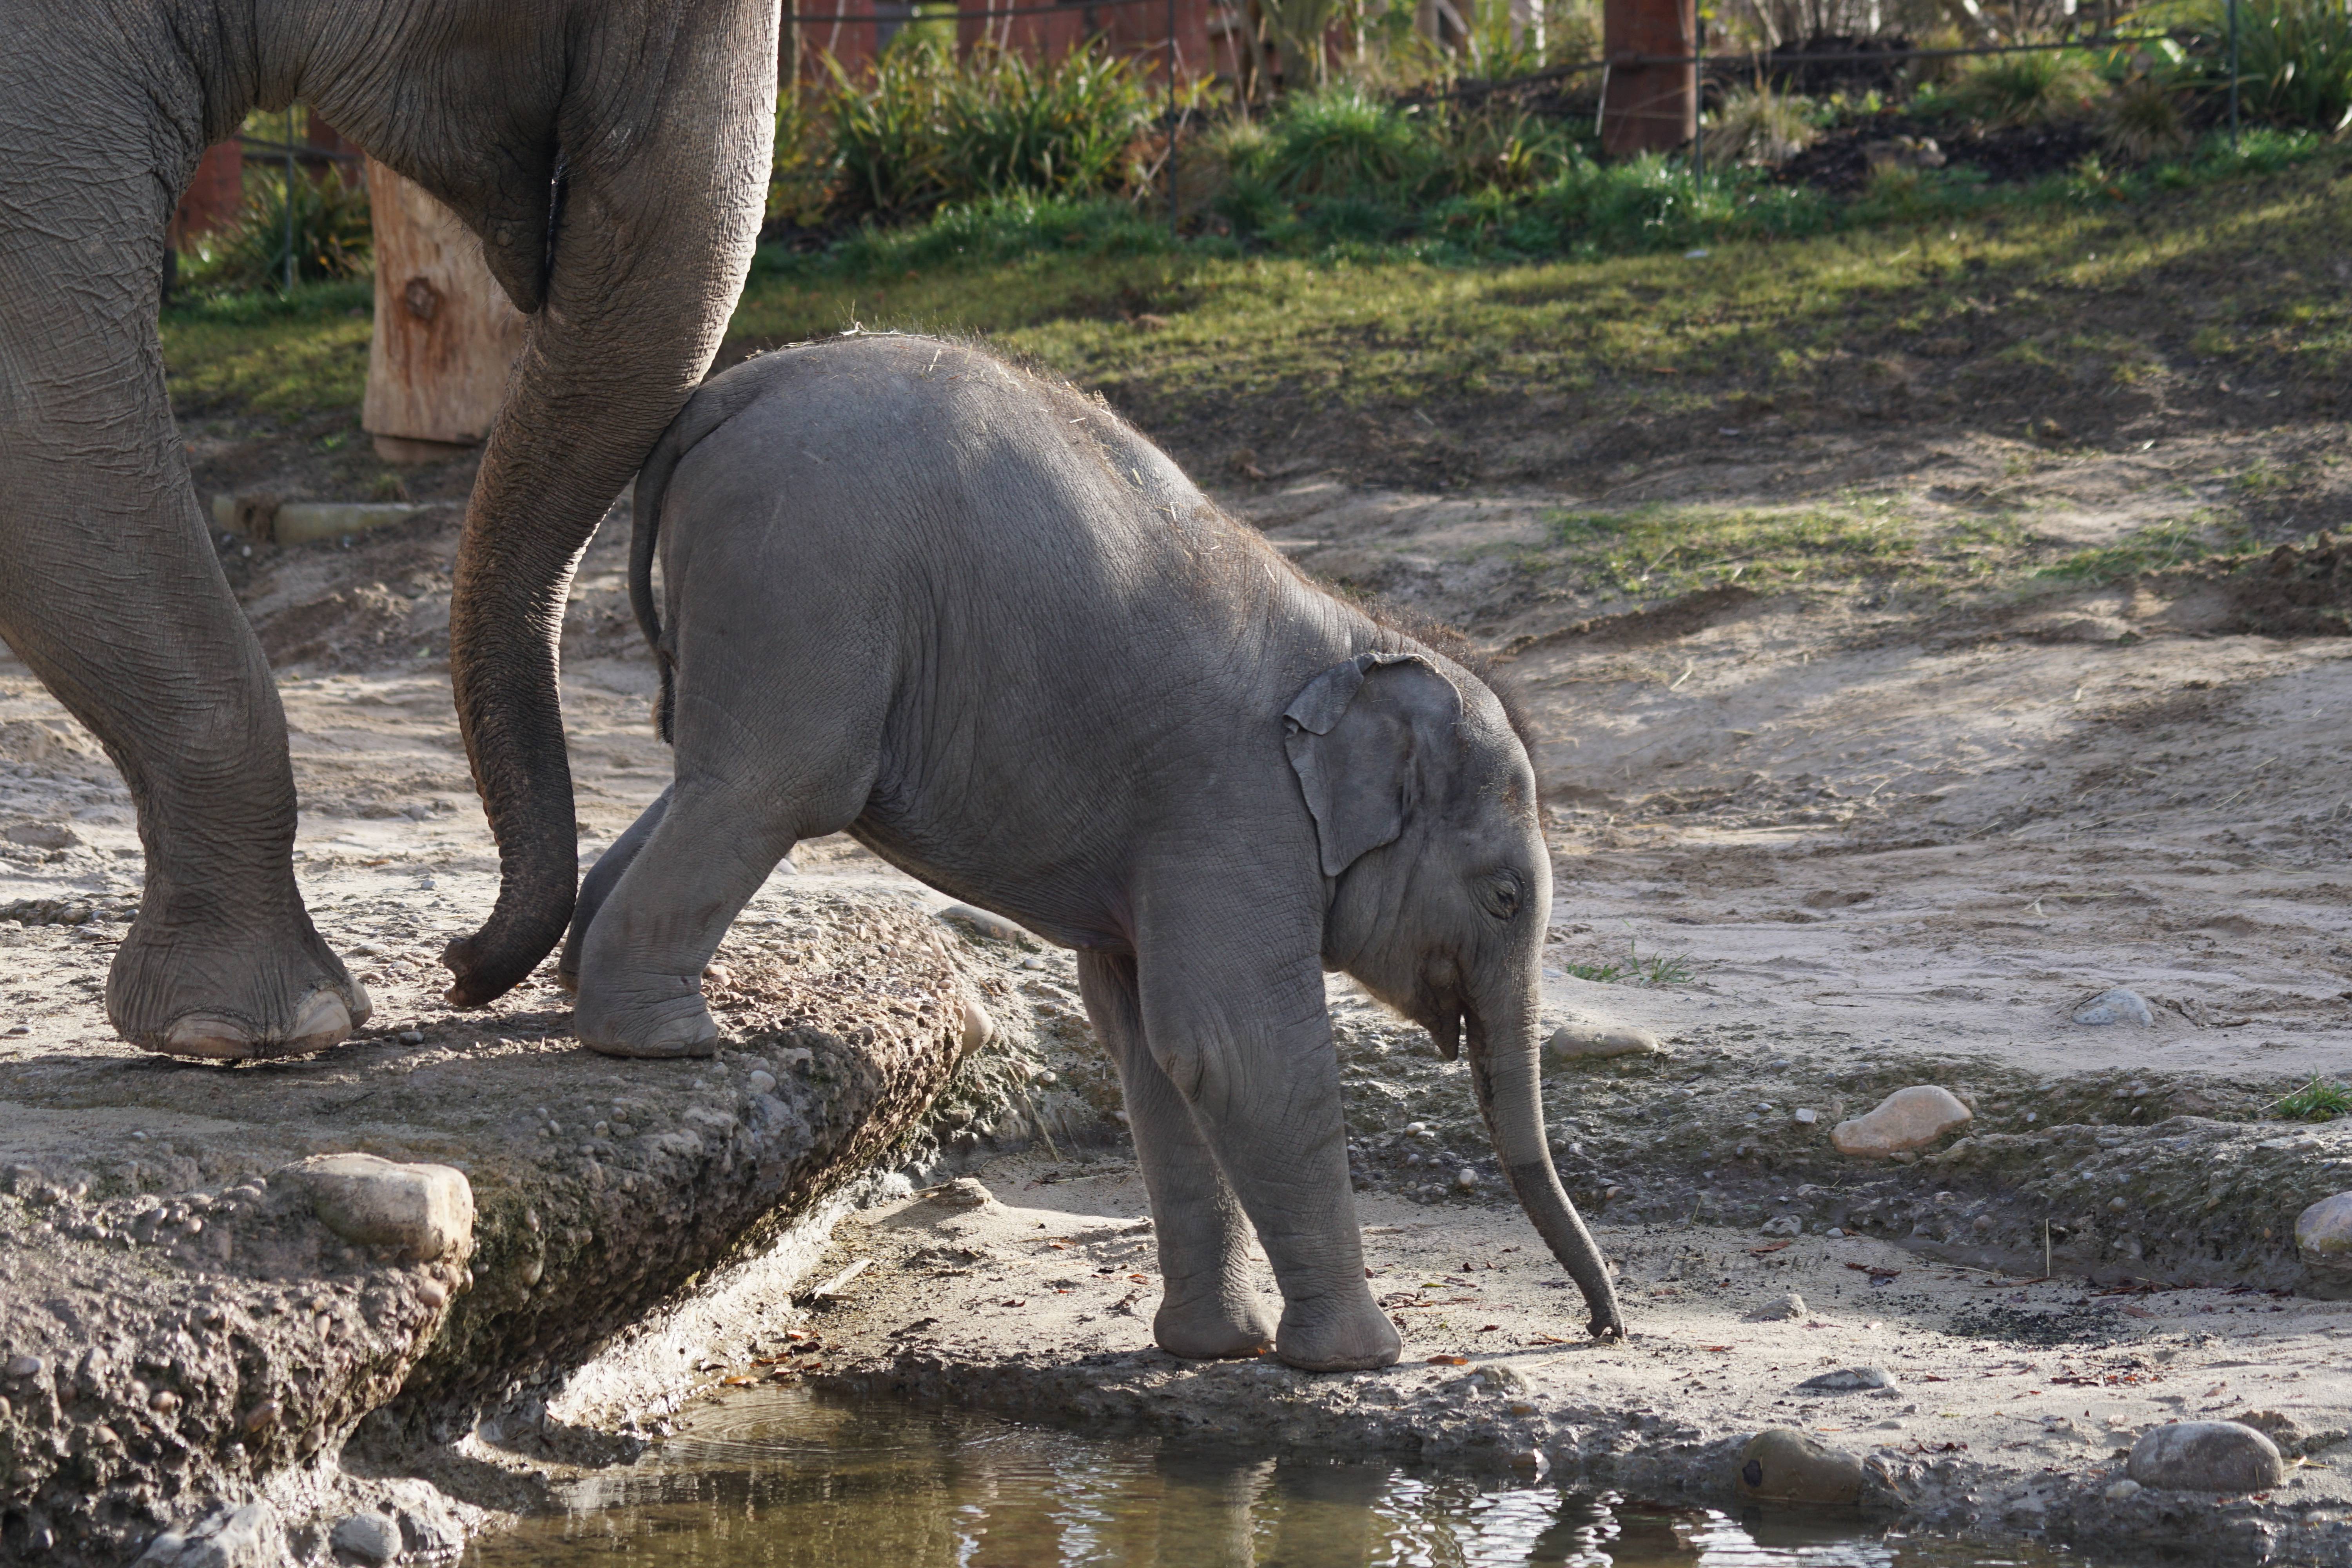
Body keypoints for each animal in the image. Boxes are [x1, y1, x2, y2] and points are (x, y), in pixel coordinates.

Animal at [569, 338, 1628, 1363]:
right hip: (808, 571)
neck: (1368, 640)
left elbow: (1152, 1049)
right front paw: (1361, 1358)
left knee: (708, 777)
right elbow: (1235, 1048)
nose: (1601, 1327)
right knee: (776, 785)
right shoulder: (1233, 807)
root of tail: (730, 391)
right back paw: (661, 1038)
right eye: (1503, 897)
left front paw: (1216, 1348)